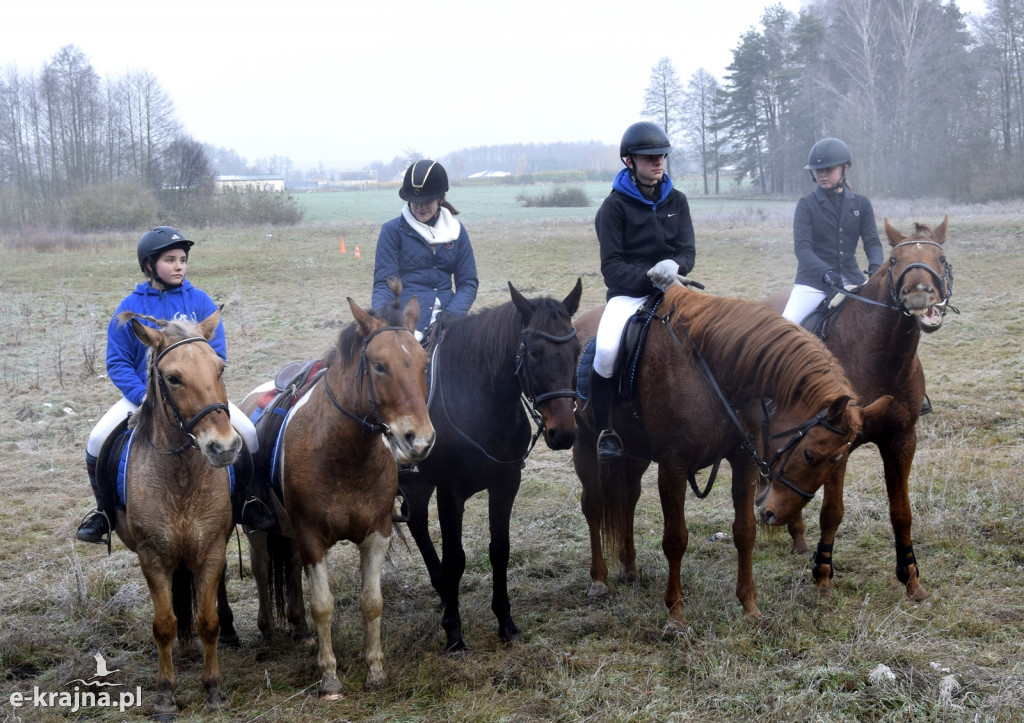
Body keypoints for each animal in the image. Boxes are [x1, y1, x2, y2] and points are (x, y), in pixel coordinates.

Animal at [110, 309, 237, 716]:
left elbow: (207, 620)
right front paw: (166, 694)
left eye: (220, 368)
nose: (224, 447)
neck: (180, 479)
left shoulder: (211, 550)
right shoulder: (153, 557)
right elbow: (164, 624)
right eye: (173, 378)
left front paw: (214, 689)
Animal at [237, 290, 434, 696]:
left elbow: (372, 602)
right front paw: (329, 677)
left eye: (424, 364)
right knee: (263, 570)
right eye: (379, 366)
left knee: (290, 566)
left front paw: (375, 669)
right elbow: (324, 606)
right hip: (258, 529)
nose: (419, 440)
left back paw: (299, 628)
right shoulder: (312, 537)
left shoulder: (376, 533)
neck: (343, 455)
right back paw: (269, 631)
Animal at [401, 278, 581, 651]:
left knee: (417, 523)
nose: (564, 432)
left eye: (577, 350)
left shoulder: (505, 484)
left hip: (418, 484)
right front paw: (454, 633)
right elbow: (456, 559)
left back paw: (441, 590)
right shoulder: (450, 492)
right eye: (534, 352)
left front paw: (506, 623)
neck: (478, 404)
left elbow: (500, 549)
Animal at [573, 284, 892, 626]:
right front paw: (675, 613)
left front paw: (749, 605)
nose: (777, 515)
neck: (714, 368)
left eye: (837, 461)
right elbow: (675, 539)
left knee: (628, 501)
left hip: (635, 456)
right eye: (809, 454)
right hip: (586, 447)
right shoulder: (673, 467)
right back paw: (599, 580)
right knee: (592, 506)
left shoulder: (744, 462)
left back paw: (630, 569)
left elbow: (745, 532)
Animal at [761, 214, 958, 598]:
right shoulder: (837, 446)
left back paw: (795, 534)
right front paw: (822, 577)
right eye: (895, 261)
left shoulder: (901, 440)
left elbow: (901, 512)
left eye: (940, 259)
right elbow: (832, 511)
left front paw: (912, 579)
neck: (880, 357)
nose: (918, 294)